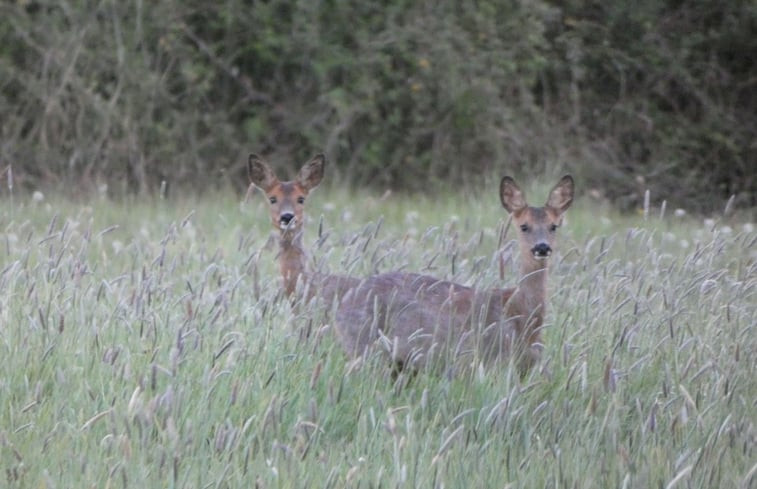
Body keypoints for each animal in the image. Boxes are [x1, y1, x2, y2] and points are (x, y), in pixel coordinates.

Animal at [332, 174, 572, 374]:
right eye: (524, 226)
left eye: (553, 226)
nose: (542, 247)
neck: (518, 313)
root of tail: (343, 301)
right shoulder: (481, 361)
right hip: (363, 346)